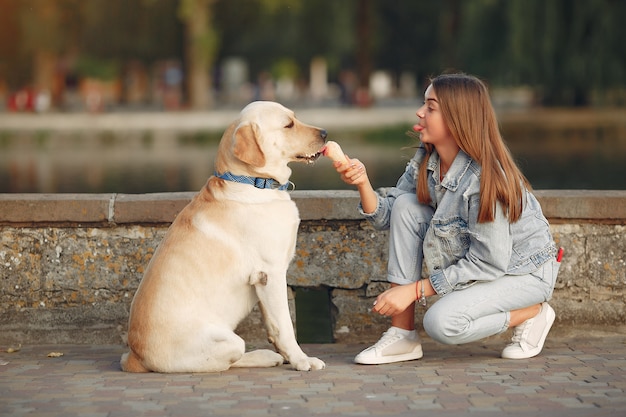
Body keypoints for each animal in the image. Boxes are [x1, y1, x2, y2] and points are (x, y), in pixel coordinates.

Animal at [120, 100, 326, 370]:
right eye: (288, 124)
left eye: (295, 117)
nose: (325, 133)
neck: (252, 181)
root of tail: (135, 356)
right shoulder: (270, 273)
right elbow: (285, 327)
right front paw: (302, 360)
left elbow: (273, 325)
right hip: (228, 341)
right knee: (229, 361)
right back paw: (264, 357)